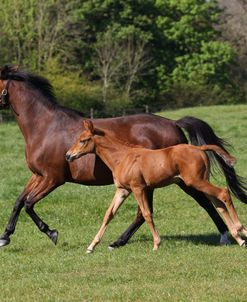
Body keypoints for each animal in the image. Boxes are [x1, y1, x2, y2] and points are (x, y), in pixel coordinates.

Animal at [65, 120, 247, 252]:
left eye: (83, 140)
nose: (68, 155)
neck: (122, 157)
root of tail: (199, 148)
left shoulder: (138, 188)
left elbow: (146, 214)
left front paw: (156, 244)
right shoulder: (123, 190)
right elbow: (108, 214)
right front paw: (91, 246)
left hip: (194, 182)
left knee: (223, 193)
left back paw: (241, 230)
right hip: (200, 181)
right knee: (217, 203)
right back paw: (238, 238)